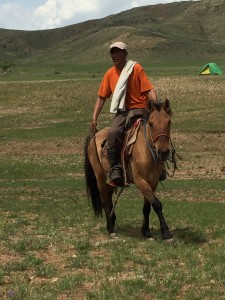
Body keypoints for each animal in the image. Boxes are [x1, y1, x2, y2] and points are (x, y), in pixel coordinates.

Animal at [84, 99, 174, 240]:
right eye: (151, 124)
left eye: (169, 122)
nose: (163, 152)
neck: (146, 151)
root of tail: (95, 135)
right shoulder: (140, 181)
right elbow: (157, 204)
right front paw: (166, 232)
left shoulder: (153, 182)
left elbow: (147, 207)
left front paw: (146, 231)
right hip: (99, 175)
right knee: (104, 199)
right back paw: (110, 228)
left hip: (116, 180)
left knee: (109, 191)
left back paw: (113, 219)